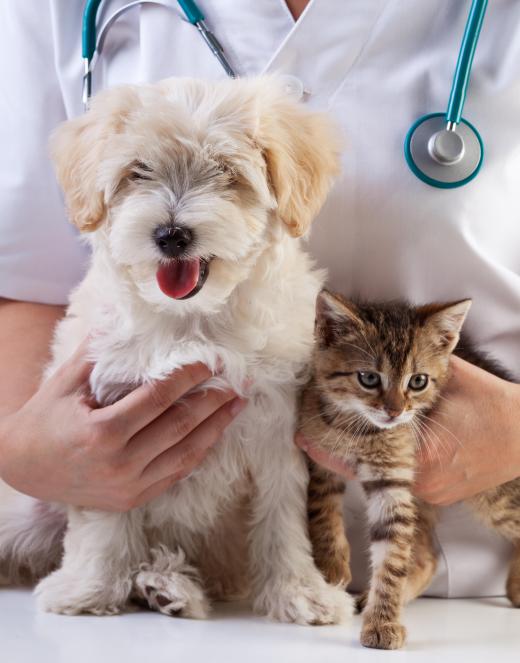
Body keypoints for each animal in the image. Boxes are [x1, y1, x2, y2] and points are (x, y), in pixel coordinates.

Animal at [2, 75, 352, 624]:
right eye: (137, 172)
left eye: (227, 172)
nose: (171, 234)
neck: (193, 322)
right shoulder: (107, 429)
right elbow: (104, 510)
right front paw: (90, 589)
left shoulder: (275, 425)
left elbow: (281, 516)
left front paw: (301, 592)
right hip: (27, 506)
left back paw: (167, 586)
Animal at [298, 290, 516, 648]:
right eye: (368, 378)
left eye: (418, 381)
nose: (395, 411)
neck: (360, 430)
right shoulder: (319, 456)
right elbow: (321, 509)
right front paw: (331, 566)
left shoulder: (394, 479)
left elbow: (393, 555)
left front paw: (383, 621)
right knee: (428, 556)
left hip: (494, 494)